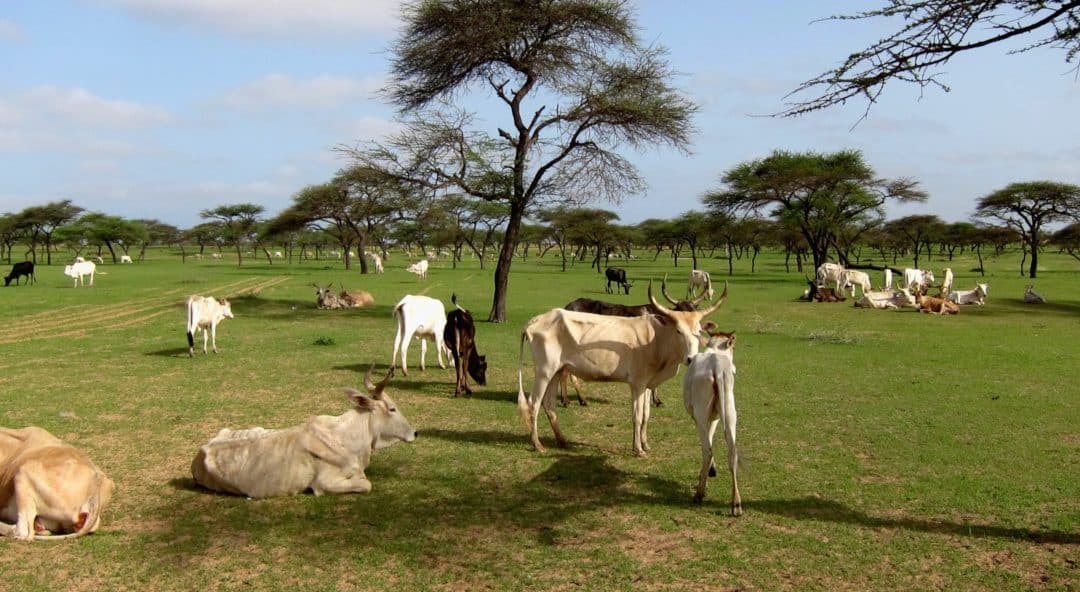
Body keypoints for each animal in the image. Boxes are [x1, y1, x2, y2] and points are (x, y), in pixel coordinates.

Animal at [192, 367, 414, 496]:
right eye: (392, 409)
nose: (415, 433)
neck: (346, 438)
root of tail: (200, 454)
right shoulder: (324, 483)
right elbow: (366, 484)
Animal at [514, 280, 725, 455]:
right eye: (679, 331)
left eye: (699, 331)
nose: (691, 358)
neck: (655, 338)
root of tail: (536, 320)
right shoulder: (637, 384)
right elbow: (637, 416)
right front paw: (638, 450)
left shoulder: (647, 384)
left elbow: (646, 414)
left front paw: (644, 444)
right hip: (544, 371)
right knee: (534, 403)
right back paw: (537, 444)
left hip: (557, 371)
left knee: (549, 403)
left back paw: (562, 440)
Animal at [682, 326, 743, 516]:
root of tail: (717, 366)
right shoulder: (716, 416)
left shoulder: (700, 417)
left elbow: (708, 439)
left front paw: (709, 471)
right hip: (730, 410)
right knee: (732, 451)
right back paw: (736, 504)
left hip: (701, 412)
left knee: (707, 450)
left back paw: (699, 494)